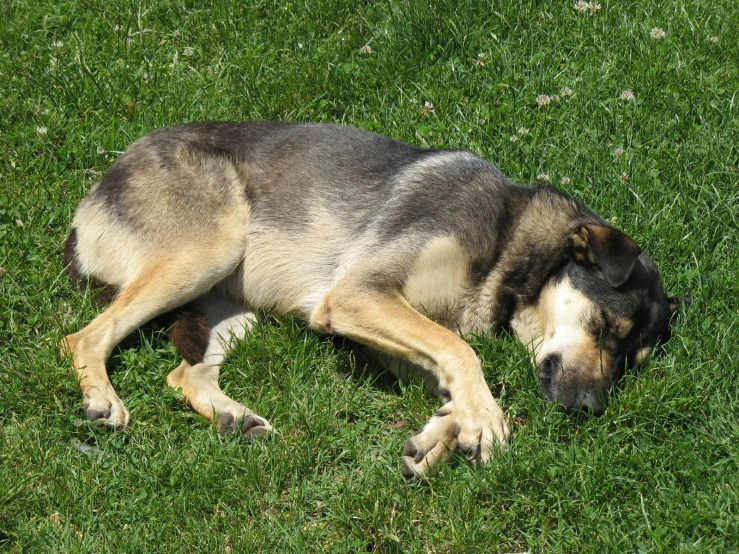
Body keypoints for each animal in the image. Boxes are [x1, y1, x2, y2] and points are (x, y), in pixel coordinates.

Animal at [60, 122, 680, 478]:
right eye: (608, 327)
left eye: (631, 361)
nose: (592, 410)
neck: (510, 242)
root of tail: (94, 194)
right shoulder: (359, 294)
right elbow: (461, 351)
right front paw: (484, 423)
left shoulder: (389, 329)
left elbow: (449, 366)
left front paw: (440, 436)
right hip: (208, 248)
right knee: (81, 337)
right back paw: (103, 400)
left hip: (234, 306)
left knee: (184, 374)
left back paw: (235, 419)